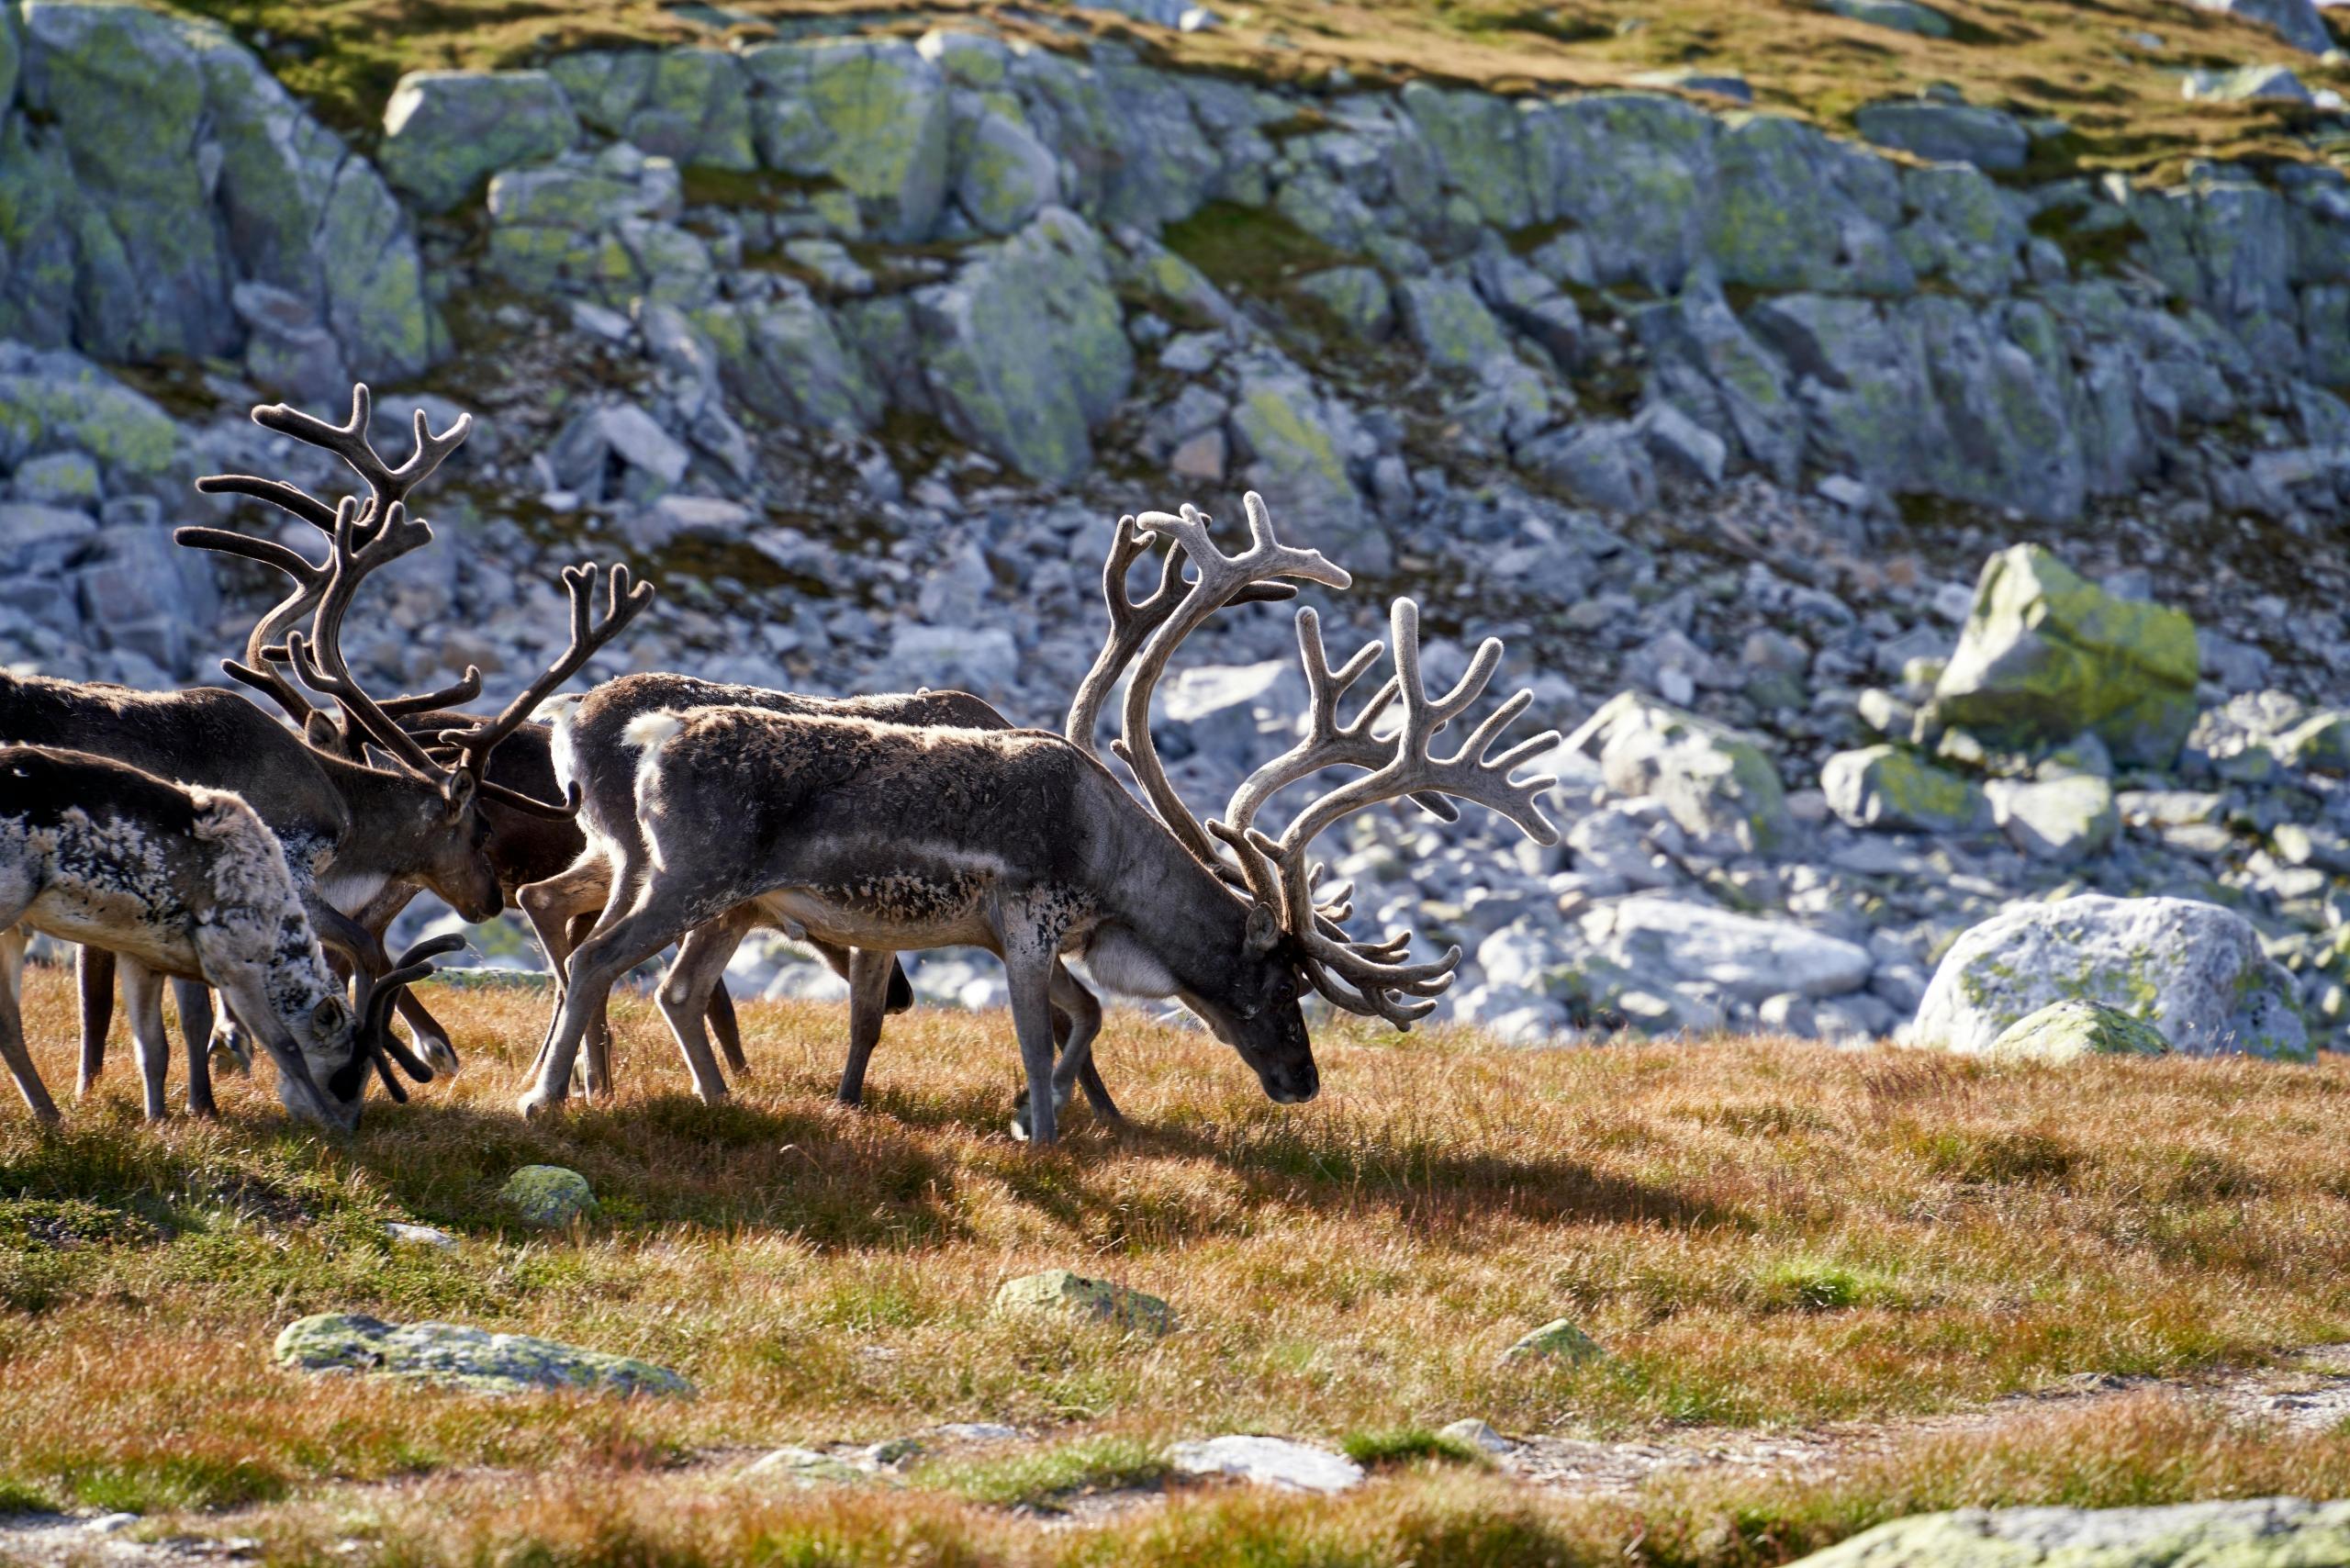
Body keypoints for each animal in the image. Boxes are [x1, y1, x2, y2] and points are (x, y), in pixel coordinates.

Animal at [0, 743, 456, 1127]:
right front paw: (330, 1128)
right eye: (345, 1078)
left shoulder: (143, 955)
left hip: (14, 930)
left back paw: (51, 1119)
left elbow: (156, 1045)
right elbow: (284, 1045)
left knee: (10, 1024)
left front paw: (159, 1122)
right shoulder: (233, 964)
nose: (352, 1124)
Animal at [518, 492, 1562, 1144]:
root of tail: (640, 730)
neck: (1108, 852)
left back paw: (677, 1095)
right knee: (600, 958)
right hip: (693, 877)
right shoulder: (1026, 922)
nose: (1303, 1084)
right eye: (1278, 983)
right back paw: (544, 1101)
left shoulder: (1012, 935)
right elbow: (1039, 1029)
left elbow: (1084, 1015)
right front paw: (1044, 1133)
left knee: (639, 968)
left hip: (682, 882)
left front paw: (1037, 1112)